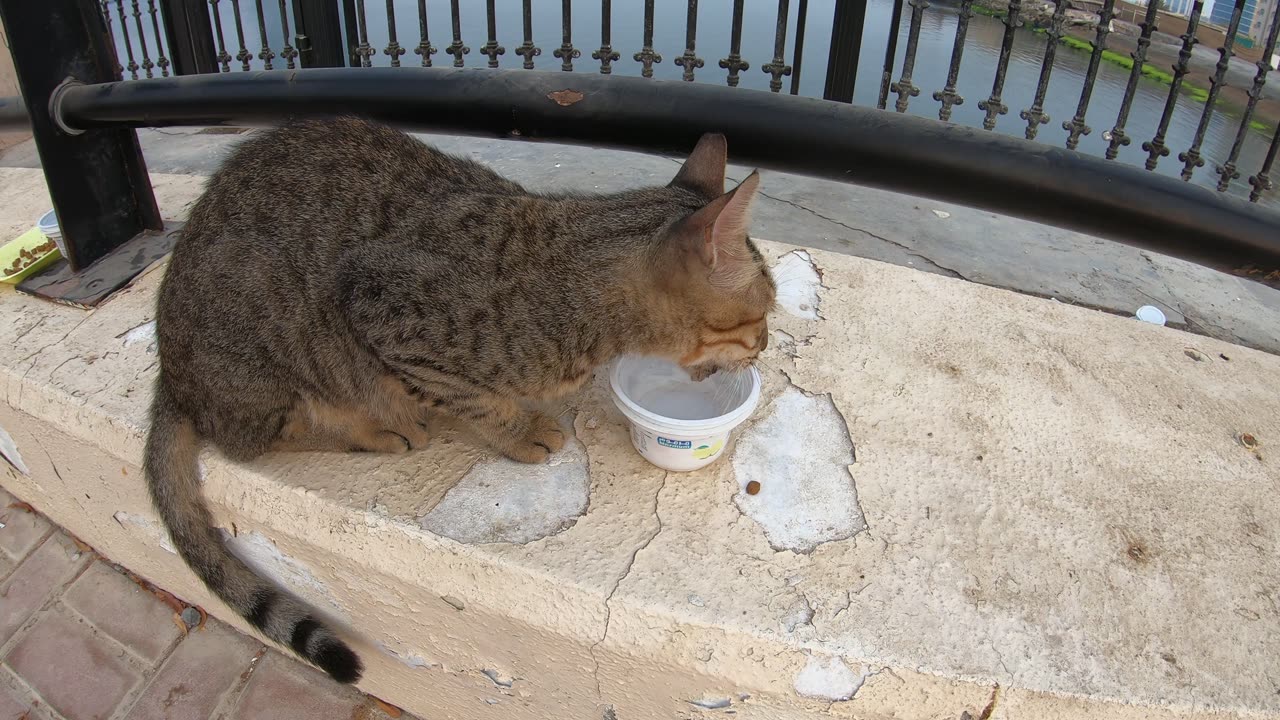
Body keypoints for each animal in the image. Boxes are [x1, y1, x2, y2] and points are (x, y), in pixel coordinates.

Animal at [145, 116, 773, 676]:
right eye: (763, 314)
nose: (766, 343)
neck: (572, 290)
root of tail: (170, 377)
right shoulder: (387, 314)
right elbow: (476, 399)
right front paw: (520, 431)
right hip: (274, 359)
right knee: (252, 437)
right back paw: (375, 428)